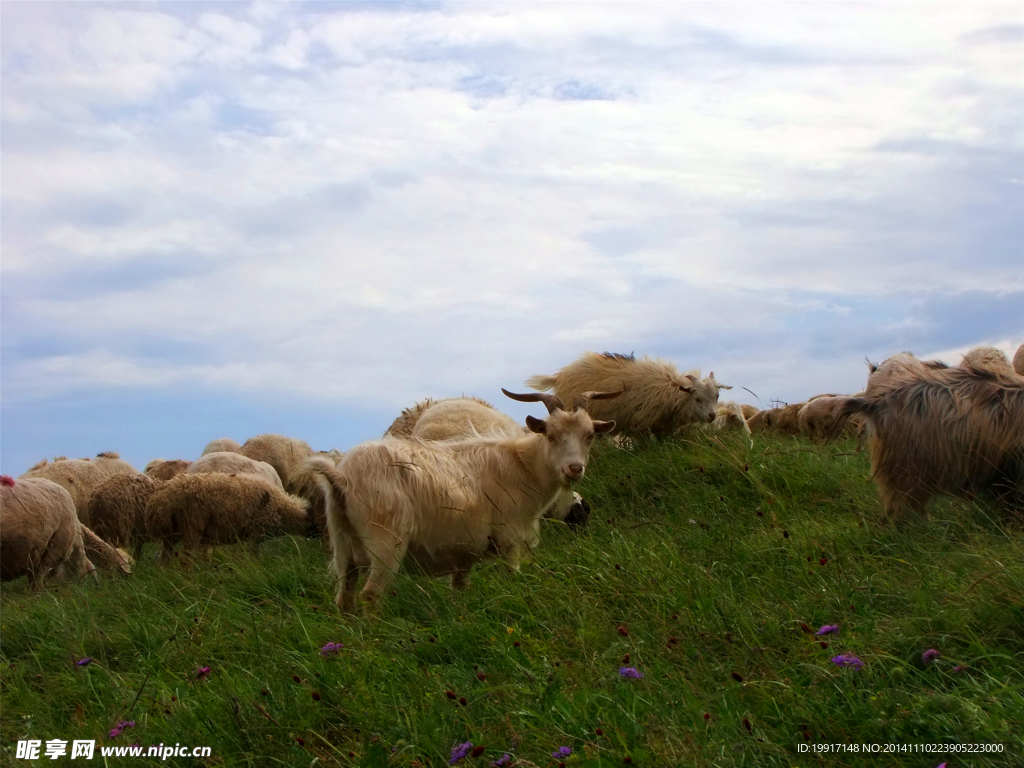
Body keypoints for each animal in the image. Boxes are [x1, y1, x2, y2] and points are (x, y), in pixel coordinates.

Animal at [292, 391, 618, 614]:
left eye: (589, 435)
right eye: (551, 435)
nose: (574, 469)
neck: (522, 465)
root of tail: (340, 477)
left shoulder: (463, 554)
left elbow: (459, 591)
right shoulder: (510, 540)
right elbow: (512, 578)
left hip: (343, 546)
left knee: (344, 600)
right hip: (385, 543)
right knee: (370, 596)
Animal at [528, 352, 729, 436]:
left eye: (717, 396)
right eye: (697, 398)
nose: (712, 416)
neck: (672, 391)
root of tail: (558, 376)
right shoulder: (642, 426)